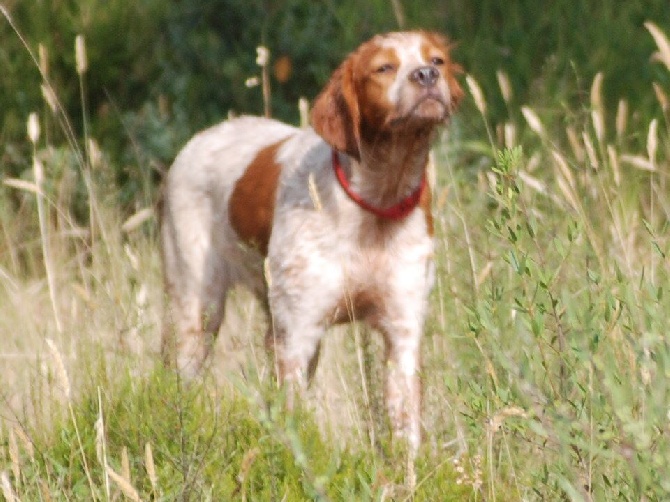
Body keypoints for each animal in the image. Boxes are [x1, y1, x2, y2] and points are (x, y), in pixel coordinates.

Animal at [161, 31, 464, 452]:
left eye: (437, 60)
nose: (426, 75)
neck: (375, 202)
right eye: (384, 68)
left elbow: (405, 431)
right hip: (197, 311)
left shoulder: (402, 329)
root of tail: (198, 138)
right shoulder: (298, 334)